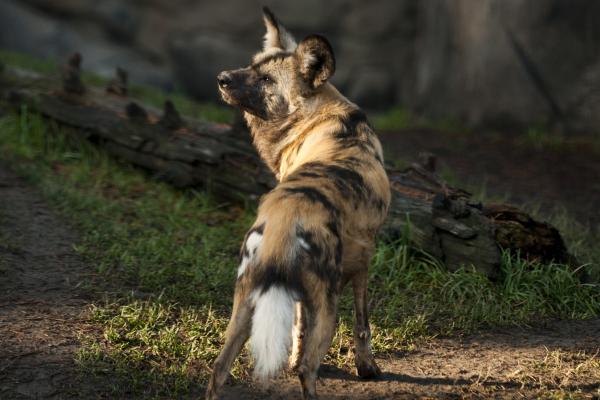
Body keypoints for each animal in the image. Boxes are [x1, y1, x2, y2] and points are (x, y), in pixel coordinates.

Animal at [206, 7, 392, 400]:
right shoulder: (363, 263)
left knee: (219, 368)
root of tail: (285, 217)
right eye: (251, 67)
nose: (222, 78)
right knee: (309, 370)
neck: (324, 115)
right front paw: (367, 367)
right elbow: (363, 325)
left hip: (245, 301)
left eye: (263, 77)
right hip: (328, 305)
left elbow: (295, 327)